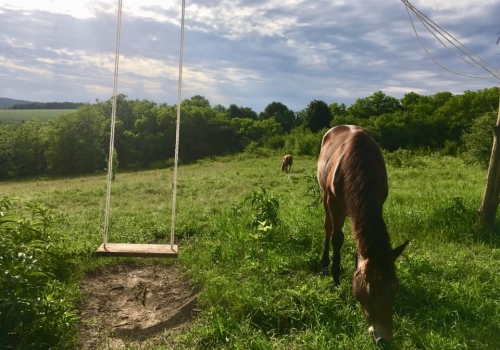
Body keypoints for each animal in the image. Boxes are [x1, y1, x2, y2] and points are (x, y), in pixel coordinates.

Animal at [318, 124, 408, 344]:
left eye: (396, 290)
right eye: (371, 292)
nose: (384, 339)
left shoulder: (378, 201)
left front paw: (353, 265)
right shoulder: (334, 202)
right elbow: (337, 237)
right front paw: (335, 277)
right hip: (325, 195)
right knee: (328, 228)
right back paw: (325, 262)